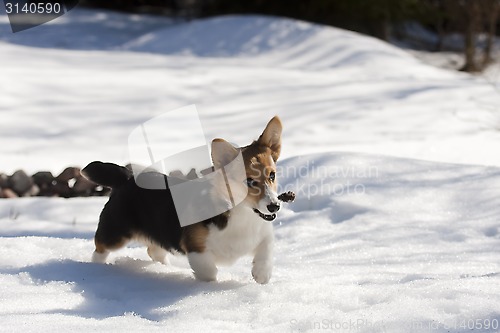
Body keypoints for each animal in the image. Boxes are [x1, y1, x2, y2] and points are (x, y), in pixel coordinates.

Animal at [82, 116, 290, 282]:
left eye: (272, 175)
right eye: (249, 181)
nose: (274, 207)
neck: (241, 216)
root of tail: (126, 177)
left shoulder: (263, 233)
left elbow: (266, 250)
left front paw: (261, 275)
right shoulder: (197, 250)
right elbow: (208, 272)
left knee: (154, 250)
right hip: (115, 233)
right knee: (100, 249)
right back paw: (96, 269)